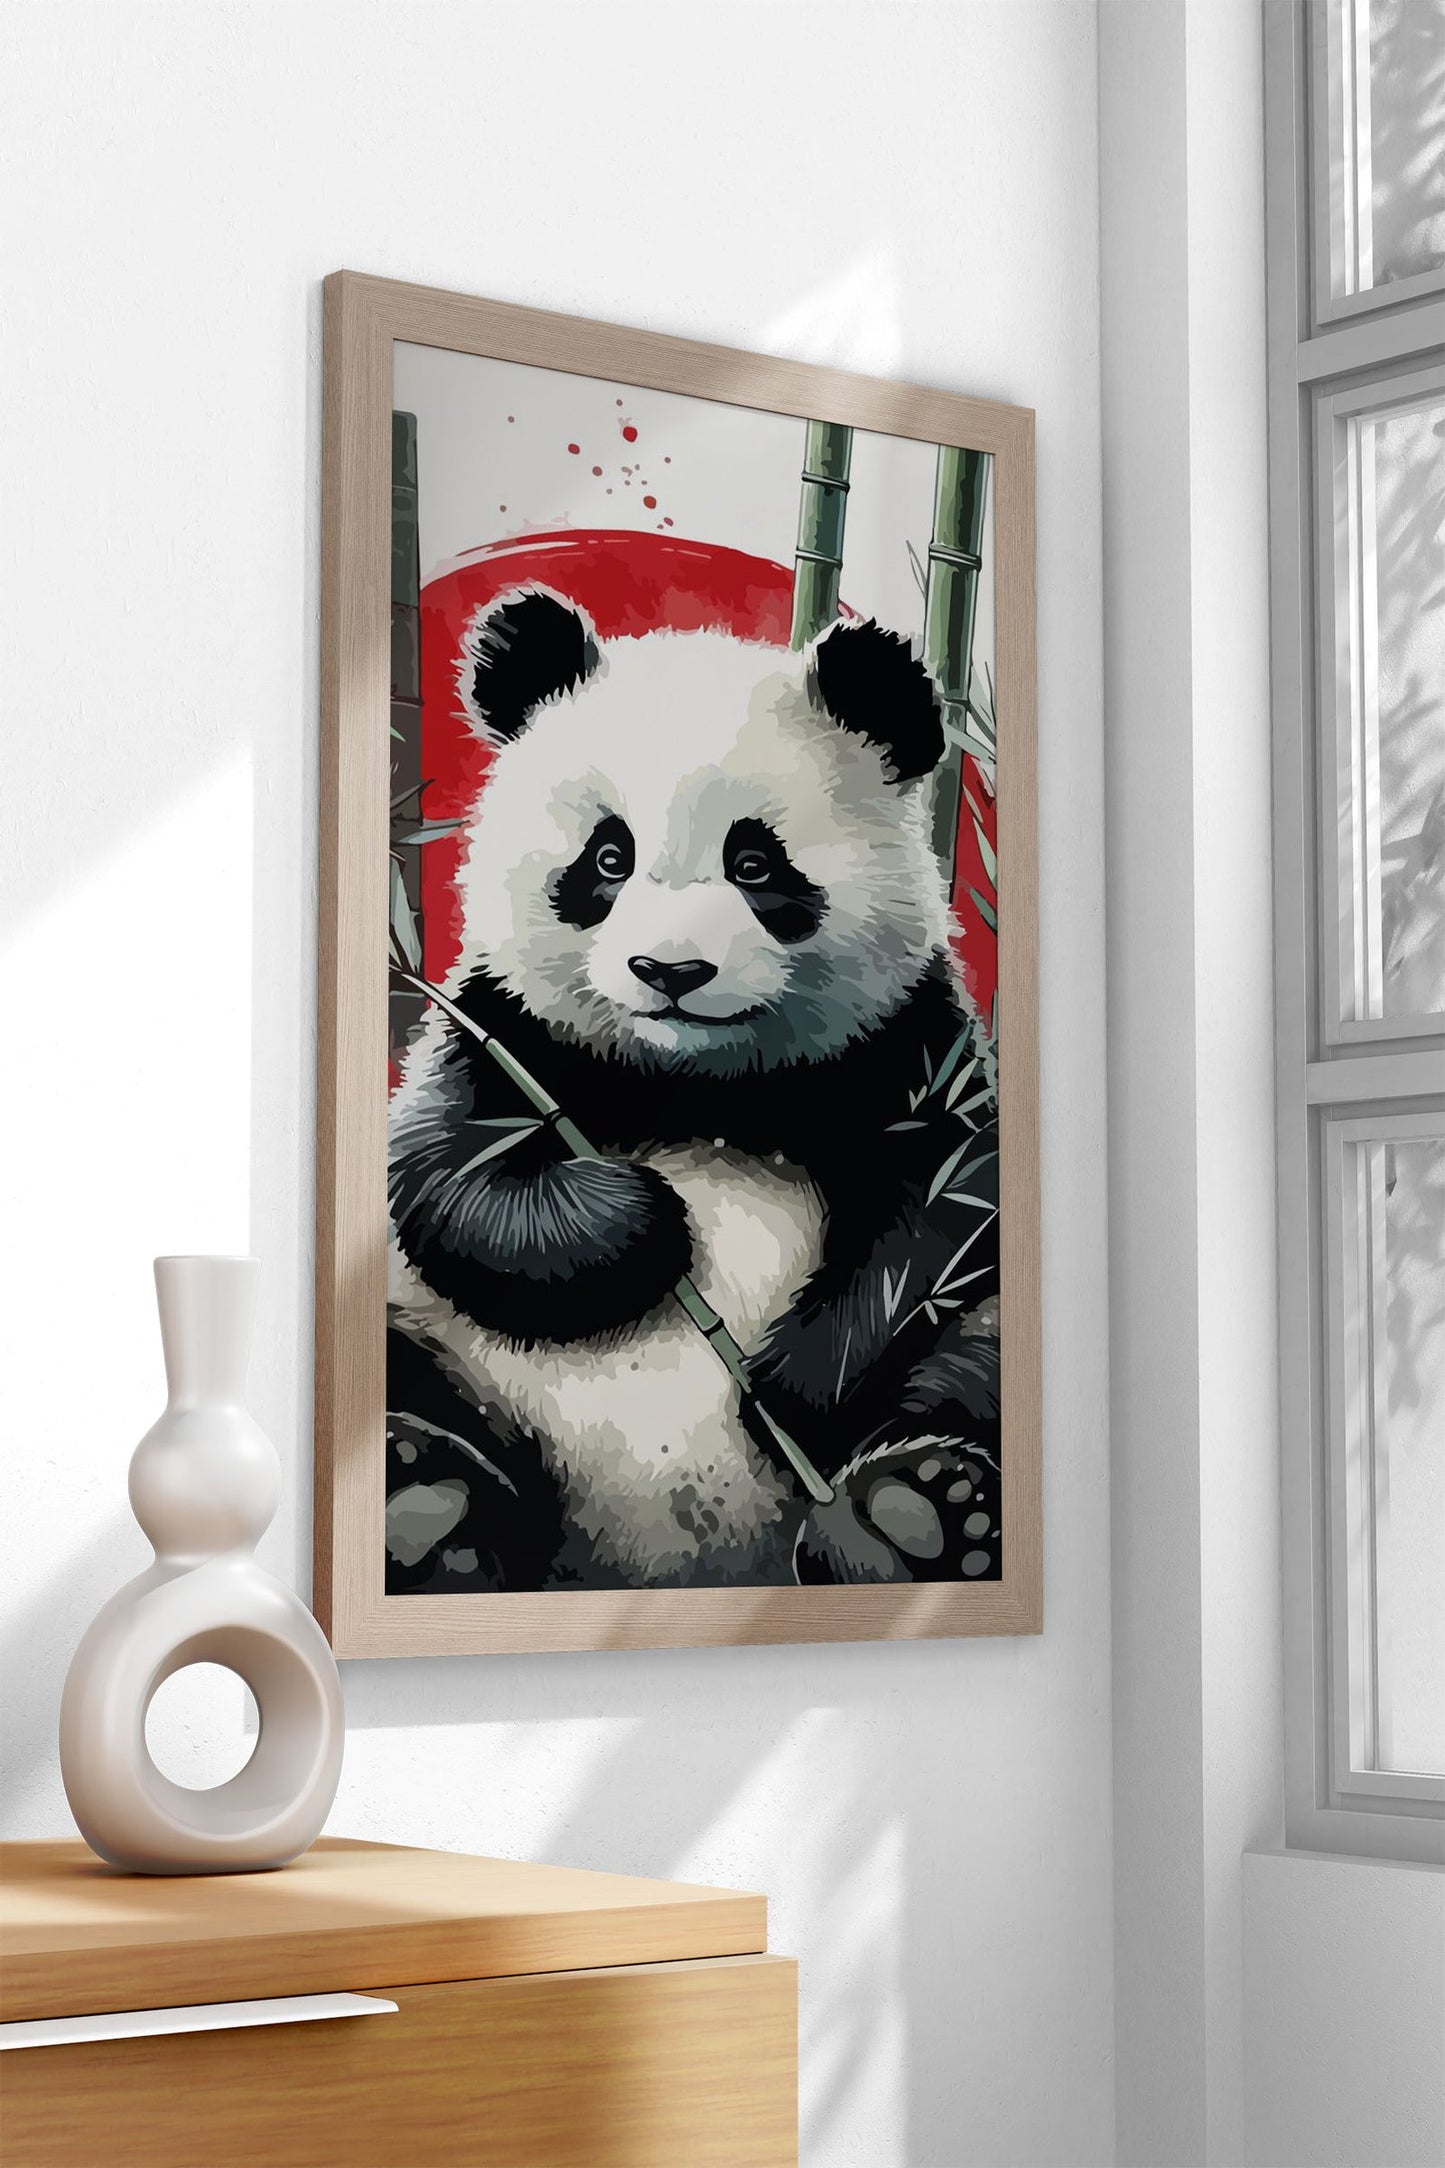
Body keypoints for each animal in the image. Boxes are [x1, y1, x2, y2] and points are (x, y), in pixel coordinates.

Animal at [384, 587, 1002, 1592]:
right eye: (608, 859)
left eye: (755, 864)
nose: (669, 971)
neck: (698, 1087)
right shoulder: (505, 1033)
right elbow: (446, 1182)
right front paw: (644, 1222)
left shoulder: (904, 1045)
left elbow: (941, 1219)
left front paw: (786, 1396)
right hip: (447, 1350)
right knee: (410, 1373)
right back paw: (427, 1510)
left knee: (968, 1365)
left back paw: (913, 1521)